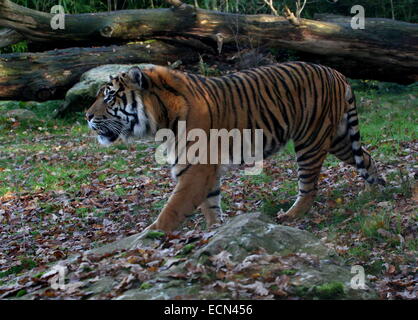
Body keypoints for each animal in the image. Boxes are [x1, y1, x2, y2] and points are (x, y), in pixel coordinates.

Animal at [85, 62, 386, 232]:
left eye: (109, 97)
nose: (86, 115)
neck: (161, 119)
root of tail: (337, 72)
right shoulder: (201, 170)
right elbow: (210, 205)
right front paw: (214, 230)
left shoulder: (195, 169)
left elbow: (172, 210)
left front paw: (148, 237)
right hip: (338, 137)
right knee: (366, 157)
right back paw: (375, 190)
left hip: (310, 141)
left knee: (309, 186)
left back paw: (291, 216)